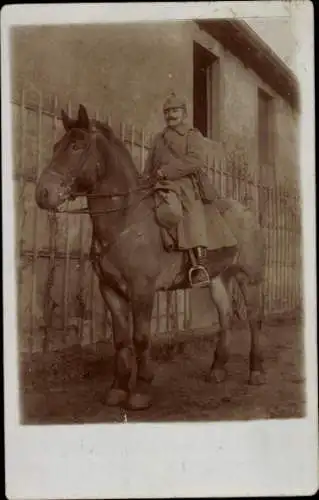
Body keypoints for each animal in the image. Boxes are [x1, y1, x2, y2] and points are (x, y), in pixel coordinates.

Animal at [35, 104, 266, 410]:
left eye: (76, 146)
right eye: (55, 146)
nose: (43, 194)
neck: (125, 218)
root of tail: (248, 212)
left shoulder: (142, 291)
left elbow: (142, 338)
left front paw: (141, 391)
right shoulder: (110, 290)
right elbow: (122, 341)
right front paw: (118, 389)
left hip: (247, 278)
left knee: (254, 319)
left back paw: (256, 371)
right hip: (218, 279)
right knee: (226, 317)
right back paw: (217, 369)